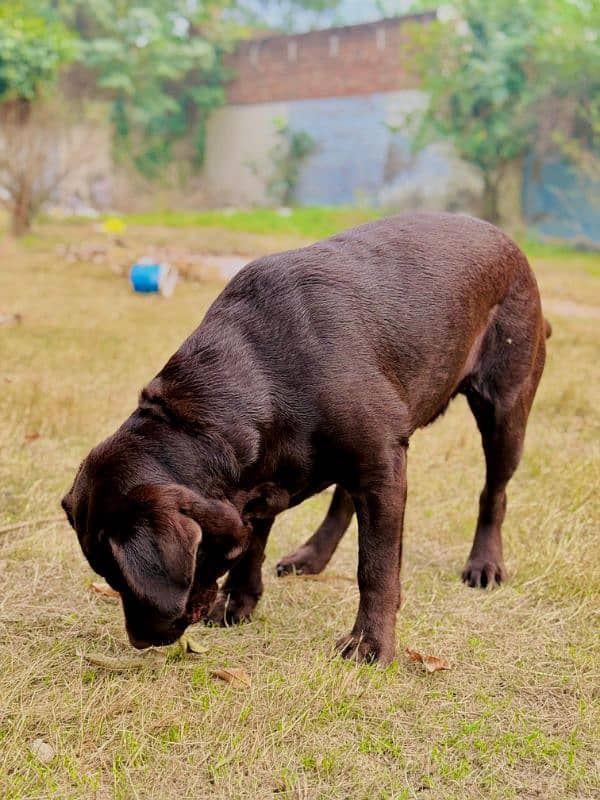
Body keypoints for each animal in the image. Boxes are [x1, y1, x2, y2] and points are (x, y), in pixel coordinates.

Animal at [61, 211, 548, 664]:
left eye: (120, 579)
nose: (139, 641)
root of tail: (506, 240)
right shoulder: (262, 479)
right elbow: (252, 545)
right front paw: (237, 602)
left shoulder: (381, 464)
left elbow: (376, 566)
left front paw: (370, 642)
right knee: (344, 497)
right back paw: (312, 556)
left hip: (505, 412)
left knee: (493, 492)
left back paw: (484, 563)